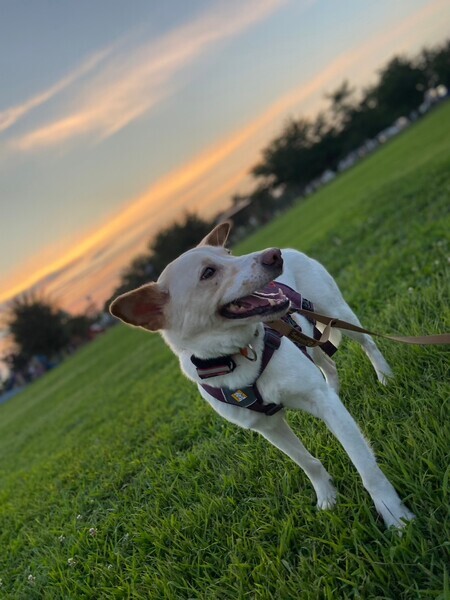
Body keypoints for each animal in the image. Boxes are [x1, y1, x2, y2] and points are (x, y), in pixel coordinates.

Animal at [110, 221, 414, 528]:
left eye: (229, 253)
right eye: (208, 273)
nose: (274, 255)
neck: (238, 355)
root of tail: (292, 250)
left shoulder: (318, 401)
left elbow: (366, 466)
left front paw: (394, 515)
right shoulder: (268, 427)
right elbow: (307, 463)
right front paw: (327, 497)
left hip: (335, 313)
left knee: (368, 343)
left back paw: (385, 377)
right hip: (307, 338)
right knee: (328, 366)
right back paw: (337, 389)